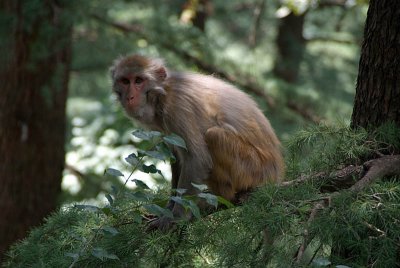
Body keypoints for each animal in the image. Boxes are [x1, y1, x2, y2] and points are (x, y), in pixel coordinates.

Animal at [109, 55, 284, 230]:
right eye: (125, 81)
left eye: (139, 80)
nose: (130, 97)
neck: (163, 92)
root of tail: (277, 173)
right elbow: (178, 158)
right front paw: (167, 209)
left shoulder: (177, 107)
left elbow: (197, 159)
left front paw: (174, 218)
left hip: (255, 169)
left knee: (214, 136)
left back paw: (218, 197)